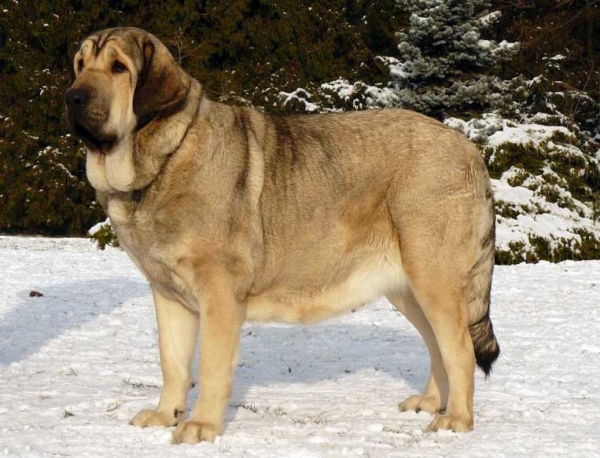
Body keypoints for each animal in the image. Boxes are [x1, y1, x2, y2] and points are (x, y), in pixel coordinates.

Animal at [64, 27, 502, 444]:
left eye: (119, 68)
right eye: (80, 64)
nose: (73, 97)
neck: (166, 157)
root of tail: (470, 150)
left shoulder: (219, 293)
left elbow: (210, 366)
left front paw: (201, 426)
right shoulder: (169, 295)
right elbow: (172, 362)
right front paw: (164, 414)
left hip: (434, 279)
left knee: (459, 349)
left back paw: (456, 420)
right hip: (410, 288)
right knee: (437, 344)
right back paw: (431, 403)